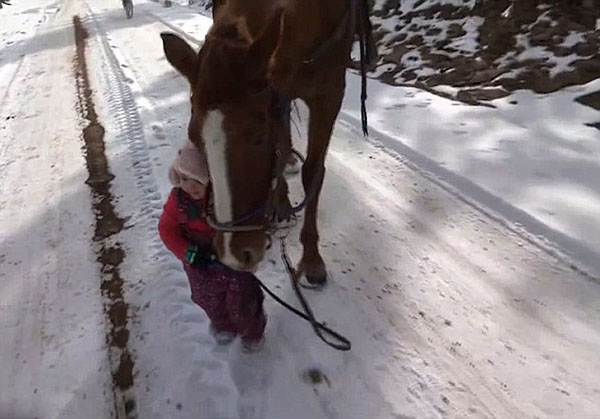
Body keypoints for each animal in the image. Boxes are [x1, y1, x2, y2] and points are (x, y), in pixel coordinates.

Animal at [162, 0, 372, 286]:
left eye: (259, 136)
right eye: (195, 137)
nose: (234, 254)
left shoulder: (329, 93)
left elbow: (313, 172)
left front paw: (311, 259)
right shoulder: (279, 89)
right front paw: (280, 204)